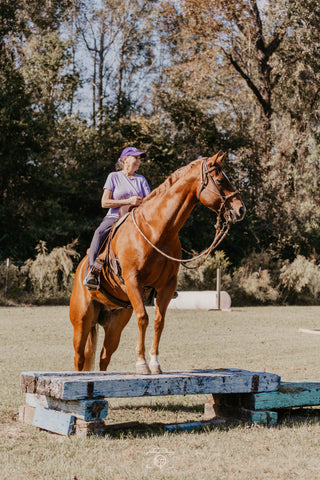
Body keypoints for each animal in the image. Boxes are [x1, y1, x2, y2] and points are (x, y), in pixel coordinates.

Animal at [69, 152, 245, 374]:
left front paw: (154, 363)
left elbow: (158, 321)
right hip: (81, 323)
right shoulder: (133, 280)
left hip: (115, 324)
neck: (157, 230)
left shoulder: (167, 285)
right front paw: (142, 364)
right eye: (221, 180)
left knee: (104, 357)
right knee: (79, 358)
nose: (241, 210)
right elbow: (143, 318)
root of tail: (81, 269)